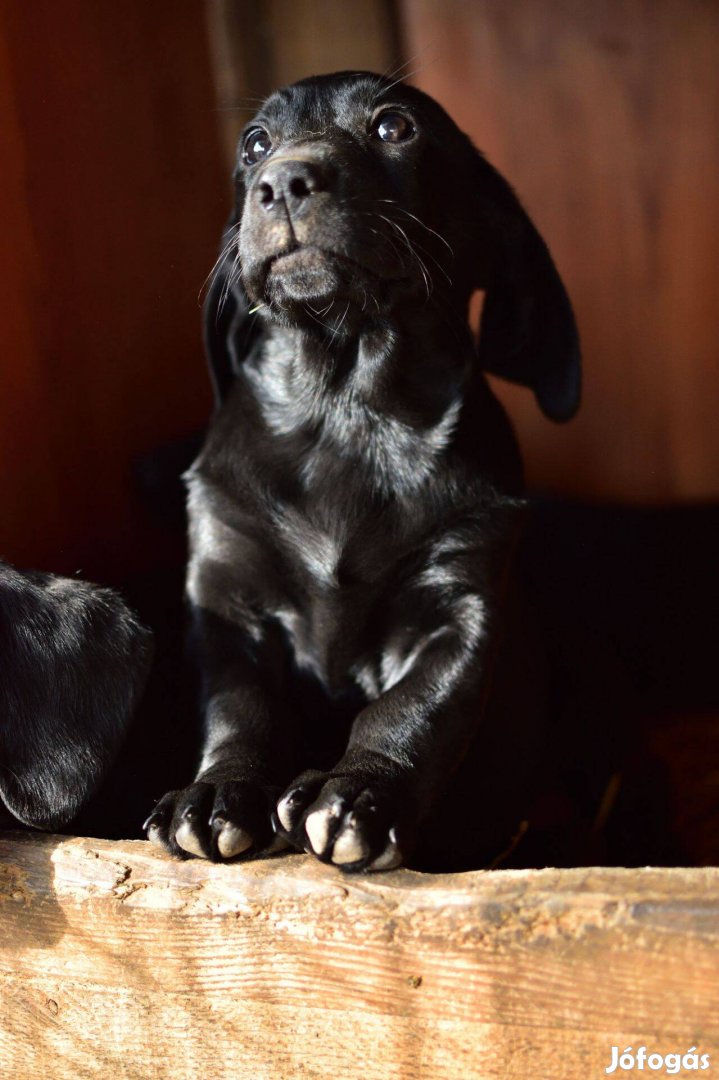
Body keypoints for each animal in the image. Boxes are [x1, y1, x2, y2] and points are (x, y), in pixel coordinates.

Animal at [144, 71, 578, 872]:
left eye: (394, 127)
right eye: (254, 144)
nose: (283, 181)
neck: (342, 410)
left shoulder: (460, 610)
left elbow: (410, 709)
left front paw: (358, 794)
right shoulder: (227, 606)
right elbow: (240, 709)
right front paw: (218, 792)